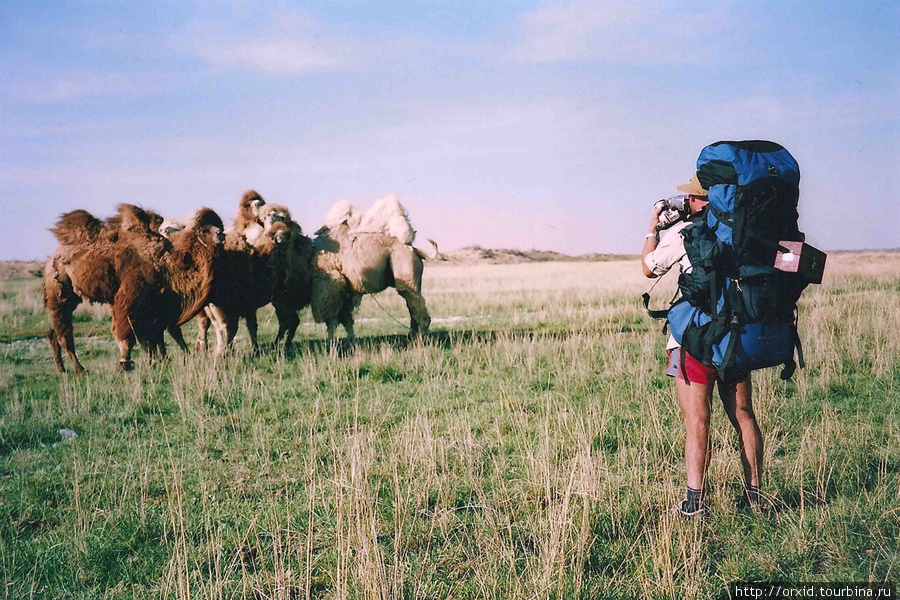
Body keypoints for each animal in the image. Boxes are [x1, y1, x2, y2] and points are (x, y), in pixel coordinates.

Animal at [44, 207, 225, 376]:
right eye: (205, 230)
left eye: (219, 226)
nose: (221, 234)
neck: (166, 263)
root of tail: (51, 259)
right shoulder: (130, 298)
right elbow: (129, 334)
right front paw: (126, 363)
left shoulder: (155, 304)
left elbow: (153, 335)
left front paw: (158, 361)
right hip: (60, 294)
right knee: (64, 334)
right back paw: (80, 369)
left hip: (71, 299)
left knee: (53, 332)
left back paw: (61, 369)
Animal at [308, 195, 438, 344]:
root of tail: (415, 250)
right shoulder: (345, 291)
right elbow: (346, 319)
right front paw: (352, 342)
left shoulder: (330, 288)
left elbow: (332, 321)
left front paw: (331, 344)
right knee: (412, 306)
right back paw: (412, 337)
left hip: (405, 270)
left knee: (418, 307)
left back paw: (422, 340)